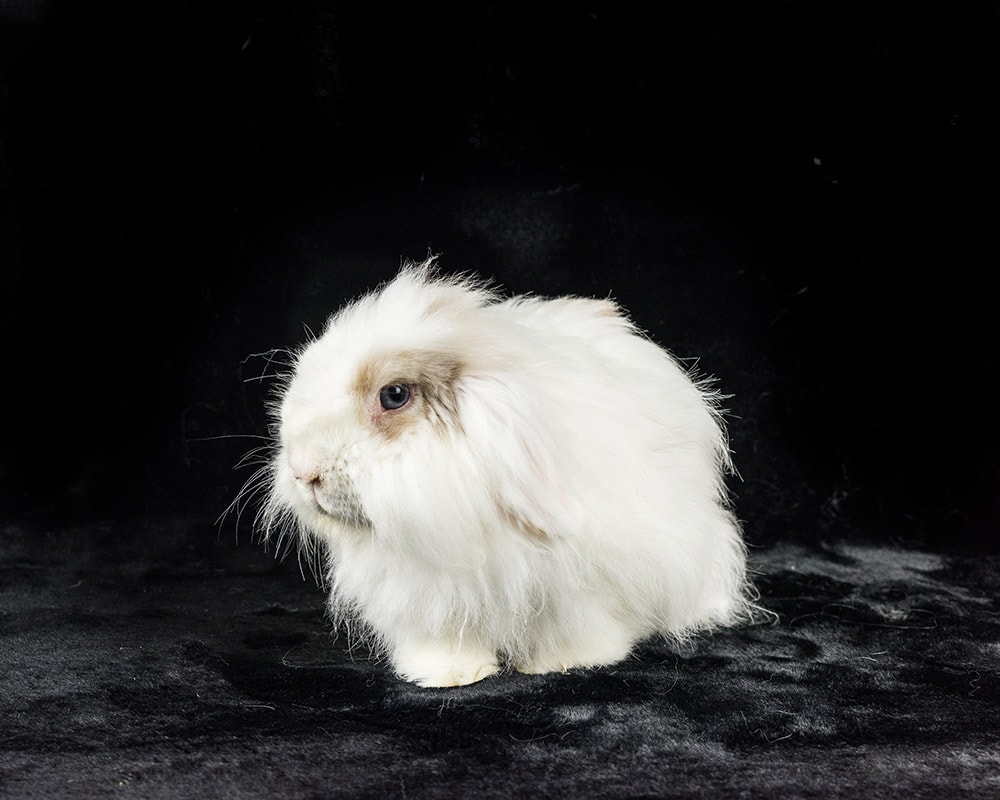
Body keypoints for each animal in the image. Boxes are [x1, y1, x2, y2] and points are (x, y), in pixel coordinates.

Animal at [254, 258, 755, 687]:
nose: (303, 471)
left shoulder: (581, 590)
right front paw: (447, 674)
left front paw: (566, 664)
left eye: (394, 395)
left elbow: (576, 628)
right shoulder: (431, 597)